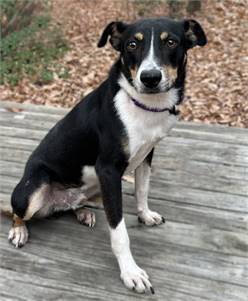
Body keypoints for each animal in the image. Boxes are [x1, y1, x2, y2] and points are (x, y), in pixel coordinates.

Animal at [7, 18, 206, 292]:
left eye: (171, 42)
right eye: (132, 44)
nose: (150, 78)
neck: (143, 105)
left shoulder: (147, 154)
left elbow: (142, 189)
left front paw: (145, 215)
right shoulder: (109, 170)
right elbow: (119, 231)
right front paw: (131, 272)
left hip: (94, 190)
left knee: (74, 203)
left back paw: (82, 211)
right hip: (32, 192)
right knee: (16, 212)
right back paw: (19, 230)